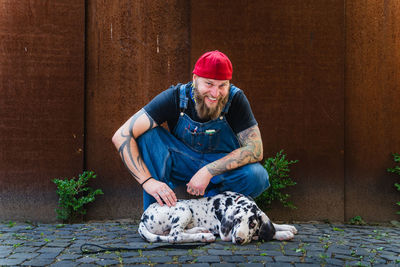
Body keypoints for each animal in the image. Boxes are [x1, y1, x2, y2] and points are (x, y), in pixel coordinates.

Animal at [138, 192, 296, 246]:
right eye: (237, 220)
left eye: (252, 224)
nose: (238, 240)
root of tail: (143, 217)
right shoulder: (226, 234)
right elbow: (260, 235)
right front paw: (283, 234)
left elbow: (271, 224)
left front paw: (286, 227)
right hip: (183, 208)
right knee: (174, 236)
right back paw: (204, 237)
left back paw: (201, 230)